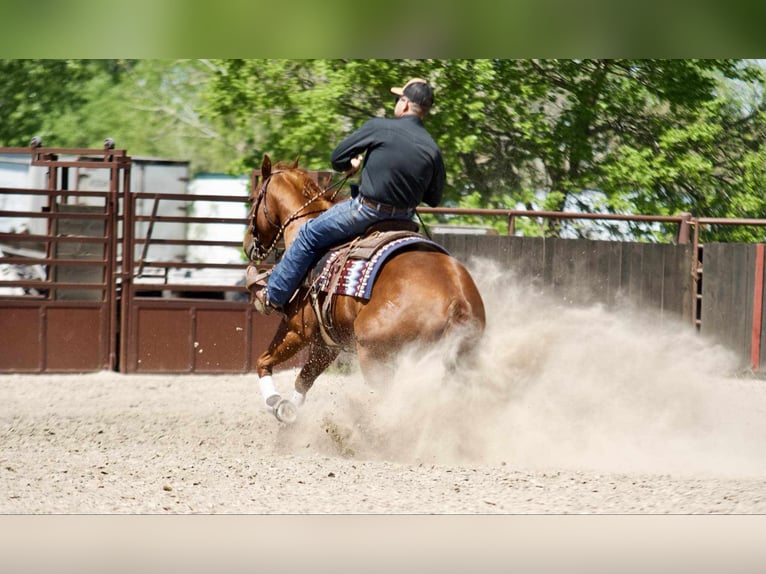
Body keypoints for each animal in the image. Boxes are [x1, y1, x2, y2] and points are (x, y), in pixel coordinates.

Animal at [244, 155, 486, 426]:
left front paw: (277, 405)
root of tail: (456, 301)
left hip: (376, 358)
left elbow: (263, 361)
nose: (247, 244)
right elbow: (303, 381)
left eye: (253, 198)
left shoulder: (297, 330)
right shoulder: (326, 344)